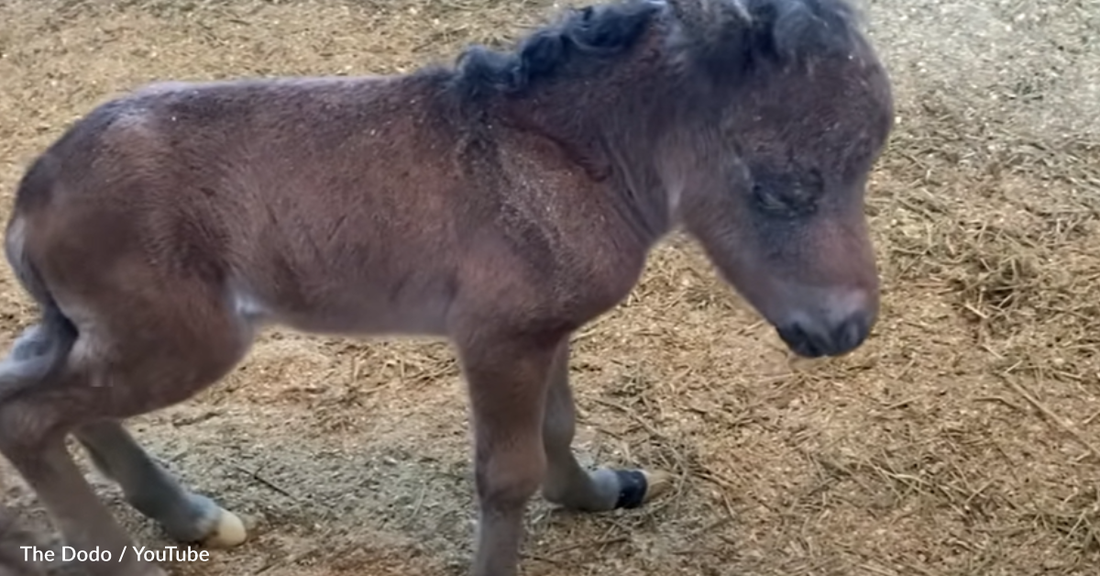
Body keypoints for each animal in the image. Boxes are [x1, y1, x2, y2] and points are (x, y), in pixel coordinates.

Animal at [0, 0, 893, 574]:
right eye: (778, 187)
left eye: (870, 160)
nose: (843, 330)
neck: (565, 158)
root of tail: (34, 192)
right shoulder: (497, 337)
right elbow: (508, 475)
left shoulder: (543, 328)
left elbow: (558, 428)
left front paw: (598, 493)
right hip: (183, 340)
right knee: (33, 416)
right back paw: (120, 560)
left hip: (109, 331)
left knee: (34, 381)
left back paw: (189, 518)